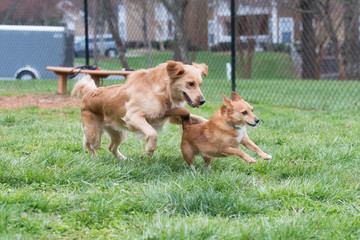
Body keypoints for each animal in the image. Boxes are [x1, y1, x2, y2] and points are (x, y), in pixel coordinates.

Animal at [71, 60, 207, 158]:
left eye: (200, 84)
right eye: (190, 84)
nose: (202, 101)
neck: (159, 91)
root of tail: (89, 92)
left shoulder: (171, 115)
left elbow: (200, 118)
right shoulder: (133, 116)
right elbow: (152, 132)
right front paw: (150, 149)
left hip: (117, 133)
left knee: (111, 147)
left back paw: (123, 159)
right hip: (95, 134)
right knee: (89, 143)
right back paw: (94, 157)